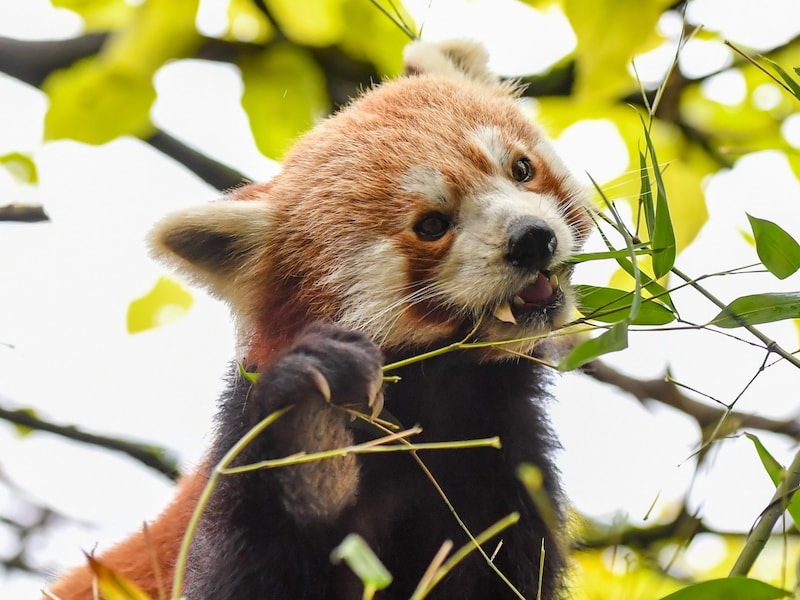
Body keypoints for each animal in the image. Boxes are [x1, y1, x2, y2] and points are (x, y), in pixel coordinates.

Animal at [43, 39, 592, 596]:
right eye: (432, 225)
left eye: (521, 169)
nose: (531, 239)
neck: (441, 403)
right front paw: (307, 435)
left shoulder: (502, 470)